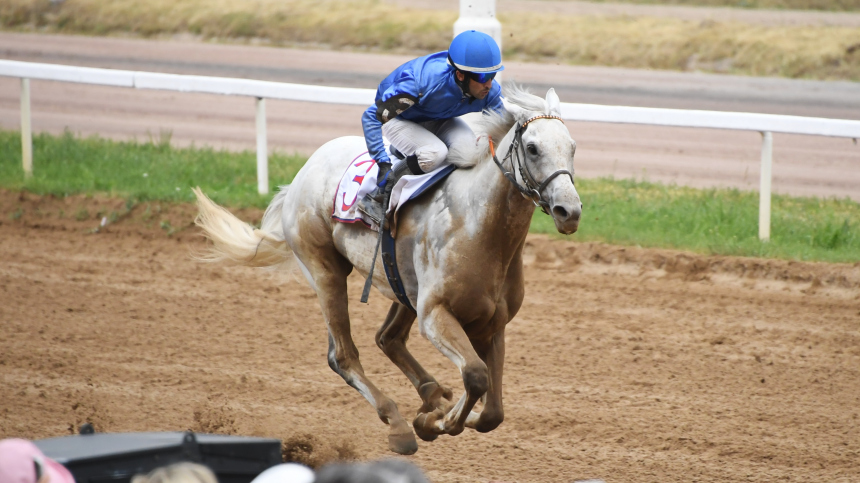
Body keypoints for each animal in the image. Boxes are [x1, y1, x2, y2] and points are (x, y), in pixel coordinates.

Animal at [194, 85, 580, 456]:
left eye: (573, 147)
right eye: (532, 148)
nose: (569, 211)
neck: (478, 226)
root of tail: (304, 171)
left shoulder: (492, 323)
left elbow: (492, 413)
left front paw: (441, 412)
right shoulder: (435, 314)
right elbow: (475, 376)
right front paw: (431, 422)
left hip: (401, 285)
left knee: (387, 338)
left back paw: (432, 394)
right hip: (324, 270)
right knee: (343, 356)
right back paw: (398, 424)